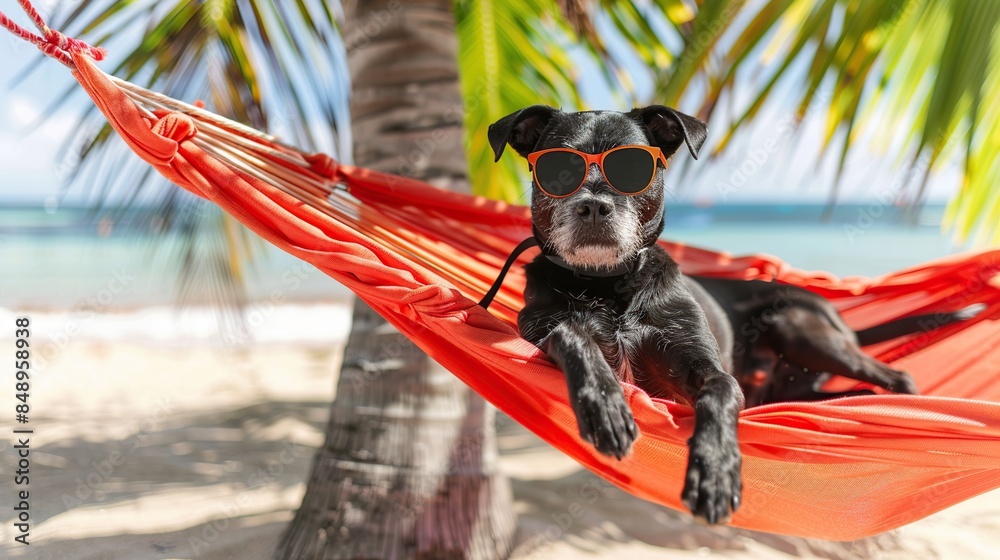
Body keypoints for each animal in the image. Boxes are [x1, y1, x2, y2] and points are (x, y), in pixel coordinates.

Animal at [488, 105, 980, 524]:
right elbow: (573, 334)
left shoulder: (705, 366)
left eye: (631, 168)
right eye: (558, 170)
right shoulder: (539, 325)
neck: (608, 284)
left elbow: (720, 392)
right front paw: (604, 405)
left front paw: (716, 472)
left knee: (898, 377)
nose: (593, 206)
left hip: (799, 328)